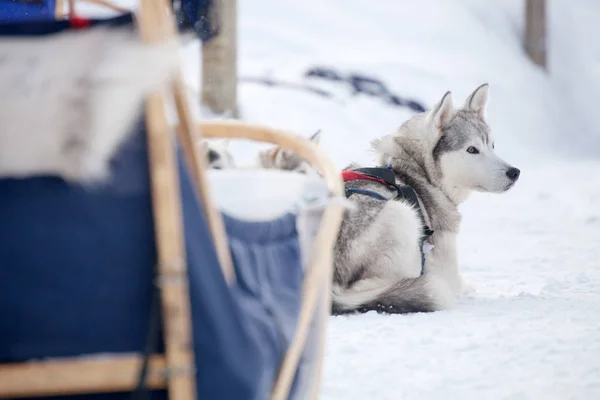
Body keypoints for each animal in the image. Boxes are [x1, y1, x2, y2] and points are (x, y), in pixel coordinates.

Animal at [332, 84, 520, 314]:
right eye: (471, 149)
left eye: (492, 146)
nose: (514, 172)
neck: (419, 172)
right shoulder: (448, 268)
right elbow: (461, 283)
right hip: (403, 215)